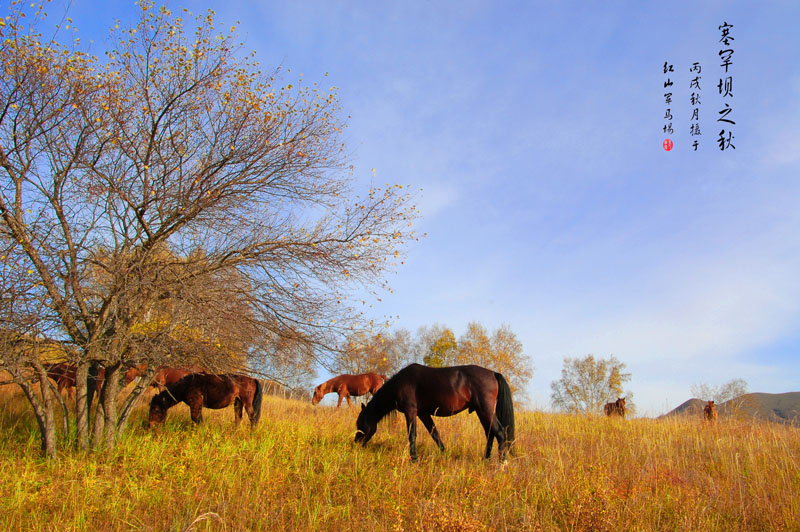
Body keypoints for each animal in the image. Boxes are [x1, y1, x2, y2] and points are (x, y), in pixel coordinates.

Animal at [354, 366, 516, 462]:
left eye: (360, 424)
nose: (355, 443)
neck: (400, 384)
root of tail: (493, 374)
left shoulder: (410, 411)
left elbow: (412, 435)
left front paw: (414, 459)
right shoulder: (423, 414)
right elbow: (435, 434)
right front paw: (444, 454)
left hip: (485, 410)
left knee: (500, 433)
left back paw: (502, 464)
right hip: (482, 412)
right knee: (490, 434)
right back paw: (485, 460)